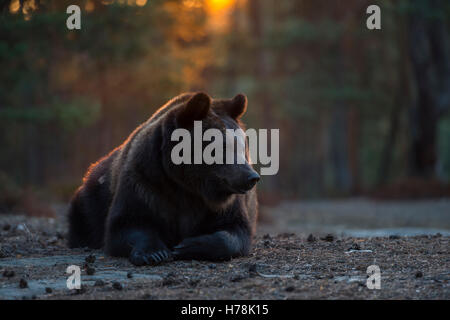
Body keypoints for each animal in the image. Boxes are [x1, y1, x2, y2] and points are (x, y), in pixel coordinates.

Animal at [66, 92, 256, 264]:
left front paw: (189, 245)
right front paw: (153, 253)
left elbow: (235, 230)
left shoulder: (220, 204)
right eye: (222, 146)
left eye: (242, 146)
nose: (251, 176)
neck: (188, 185)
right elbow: (126, 224)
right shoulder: (145, 183)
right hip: (92, 198)